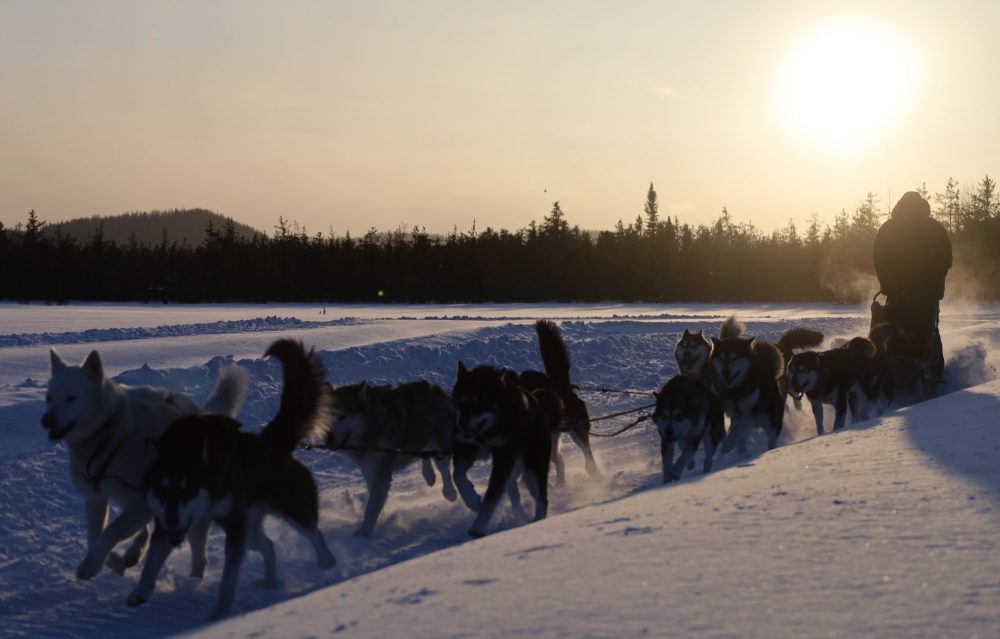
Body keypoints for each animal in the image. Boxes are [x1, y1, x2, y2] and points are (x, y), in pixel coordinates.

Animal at [41, 350, 248, 580]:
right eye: (49, 397)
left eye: (71, 398)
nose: (46, 420)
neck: (109, 436)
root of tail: (197, 414)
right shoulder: (95, 499)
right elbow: (95, 537)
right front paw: (114, 561)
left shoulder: (141, 502)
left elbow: (110, 532)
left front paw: (92, 565)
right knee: (145, 531)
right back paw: (135, 552)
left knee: (198, 550)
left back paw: (192, 580)